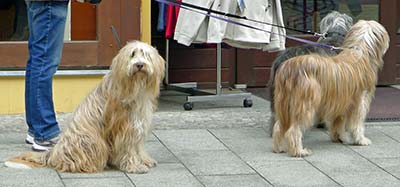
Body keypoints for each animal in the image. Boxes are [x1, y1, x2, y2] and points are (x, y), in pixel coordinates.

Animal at [5, 40, 164, 173]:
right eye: (132, 55)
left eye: (146, 55)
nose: (139, 65)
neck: (134, 86)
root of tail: (54, 153)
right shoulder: (124, 127)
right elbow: (128, 148)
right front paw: (134, 166)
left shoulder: (139, 122)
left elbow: (138, 145)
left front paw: (144, 160)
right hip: (93, 140)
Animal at [270, 20, 390, 157]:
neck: (359, 50)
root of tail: (288, 67)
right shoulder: (359, 101)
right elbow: (356, 124)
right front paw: (360, 140)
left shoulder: (341, 102)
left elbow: (338, 122)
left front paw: (339, 138)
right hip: (305, 103)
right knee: (293, 129)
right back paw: (299, 151)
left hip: (283, 102)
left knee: (279, 126)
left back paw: (279, 147)